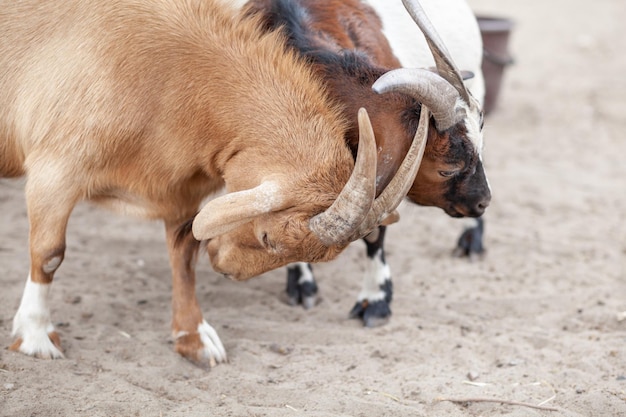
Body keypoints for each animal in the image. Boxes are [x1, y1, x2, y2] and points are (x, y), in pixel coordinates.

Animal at [246, 0, 490, 324]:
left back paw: (472, 240)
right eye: (446, 170)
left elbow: (376, 232)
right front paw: (301, 284)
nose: (483, 201)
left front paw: (374, 300)